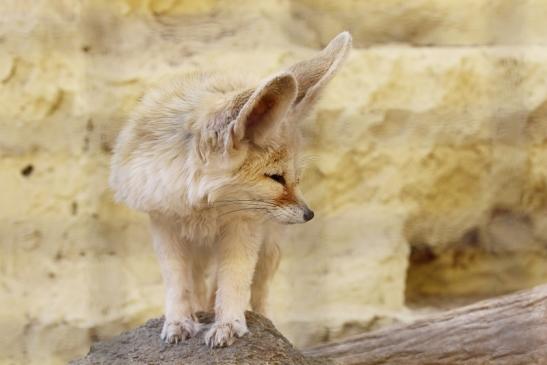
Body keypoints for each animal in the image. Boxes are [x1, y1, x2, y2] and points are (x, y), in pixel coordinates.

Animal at [109, 32, 354, 346]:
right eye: (275, 178)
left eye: (295, 179)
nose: (309, 214)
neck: (203, 206)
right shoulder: (164, 222)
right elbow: (177, 283)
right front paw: (178, 322)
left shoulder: (243, 226)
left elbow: (234, 282)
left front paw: (228, 324)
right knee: (200, 286)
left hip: (268, 249)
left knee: (259, 292)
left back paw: (268, 325)